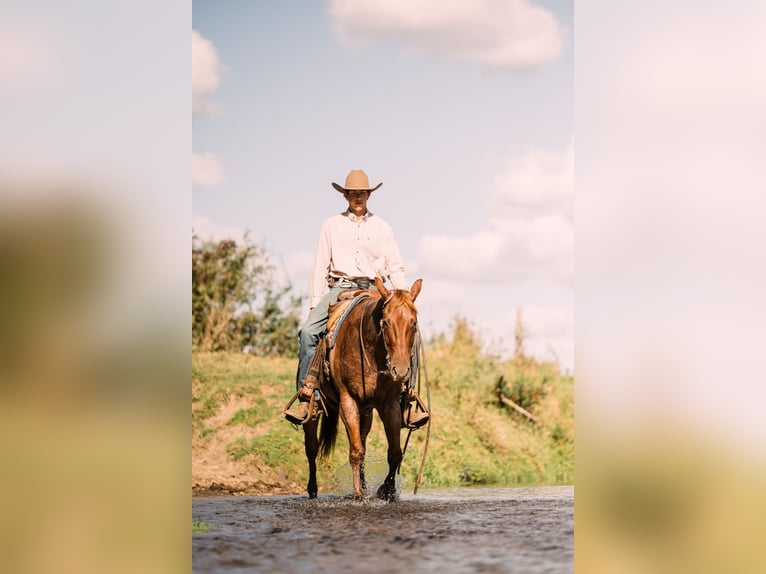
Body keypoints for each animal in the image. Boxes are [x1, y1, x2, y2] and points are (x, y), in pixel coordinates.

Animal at [304, 278, 424, 500]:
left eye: (413, 323)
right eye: (386, 323)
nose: (400, 370)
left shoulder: (389, 405)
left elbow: (395, 452)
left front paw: (386, 490)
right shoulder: (348, 400)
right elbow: (355, 451)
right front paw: (358, 494)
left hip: (365, 412)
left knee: (363, 440)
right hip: (314, 408)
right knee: (312, 448)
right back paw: (313, 489)